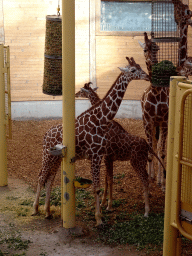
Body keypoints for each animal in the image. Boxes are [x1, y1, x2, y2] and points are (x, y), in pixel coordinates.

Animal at [31, 56, 150, 226]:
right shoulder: (94, 155)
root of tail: (46, 134)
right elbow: (97, 188)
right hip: (47, 156)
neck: (101, 121)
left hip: (56, 158)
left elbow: (101, 185)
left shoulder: (100, 155)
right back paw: (35, 209)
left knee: (50, 179)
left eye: (140, 66)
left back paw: (47, 212)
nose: (147, 76)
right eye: (133, 70)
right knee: (41, 177)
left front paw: (102, 214)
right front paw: (99, 219)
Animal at [76, 82, 166, 214]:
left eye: (81, 91)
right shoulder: (108, 157)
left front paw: (108, 205)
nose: (76, 94)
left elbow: (109, 180)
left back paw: (147, 209)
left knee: (145, 178)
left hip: (136, 160)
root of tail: (146, 147)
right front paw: (103, 202)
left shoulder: (107, 156)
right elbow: (107, 179)